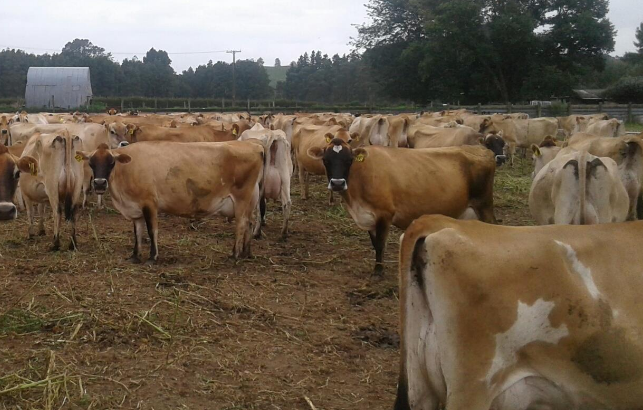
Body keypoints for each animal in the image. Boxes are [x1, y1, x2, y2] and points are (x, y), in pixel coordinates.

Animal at [76, 141, 266, 262]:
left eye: (111, 162)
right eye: (91, 163)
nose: (99, 183)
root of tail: (255, 146)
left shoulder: (149, 203)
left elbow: (152, 231)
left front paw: (153, 257)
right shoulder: (135, 208)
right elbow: (137, 232)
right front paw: (135, 256)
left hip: (241, 198)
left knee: (241, 224)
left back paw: (234, 255)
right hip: (251, 199)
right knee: (249, 223)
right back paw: (246, 253)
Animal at [307, 141, 496, 274]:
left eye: (349, 160)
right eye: (325, 160)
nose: (337, 183)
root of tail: (482, 149)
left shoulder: (385, 214)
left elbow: (380, 244)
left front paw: (378, 270)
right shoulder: (369, 217)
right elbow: (374, 243)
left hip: (484, 205)